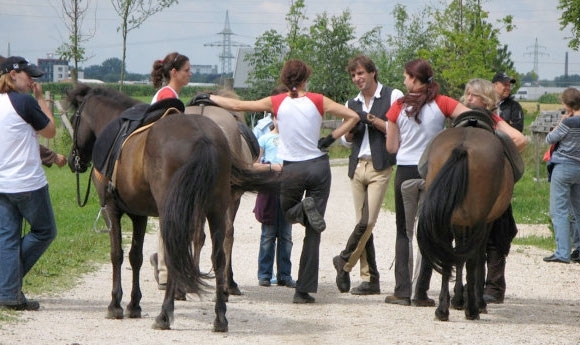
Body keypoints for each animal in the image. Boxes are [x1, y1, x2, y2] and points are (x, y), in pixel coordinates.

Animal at [65, 84, 278, 330]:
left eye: (75, 118)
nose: (72, 160)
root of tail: (204, 137)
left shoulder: (111, 209)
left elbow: (117, 255)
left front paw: (116, 305)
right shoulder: (139, 214)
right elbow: (135, 257)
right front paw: (134, 305)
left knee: (177, 255)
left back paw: (165, 314)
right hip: (214, 209)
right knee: (217, 255)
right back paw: (219, 316)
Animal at [416, 125, 512, 322]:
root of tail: (462, 147)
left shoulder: (458, 222)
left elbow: (457, 256)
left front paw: (458, 299)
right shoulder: (485, 223)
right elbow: (475, 259)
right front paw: (475, 302)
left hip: (445, 221)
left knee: (446, 255)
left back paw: (442, 309)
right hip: (478, 222)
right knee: (473, 258)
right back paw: (473, 309)